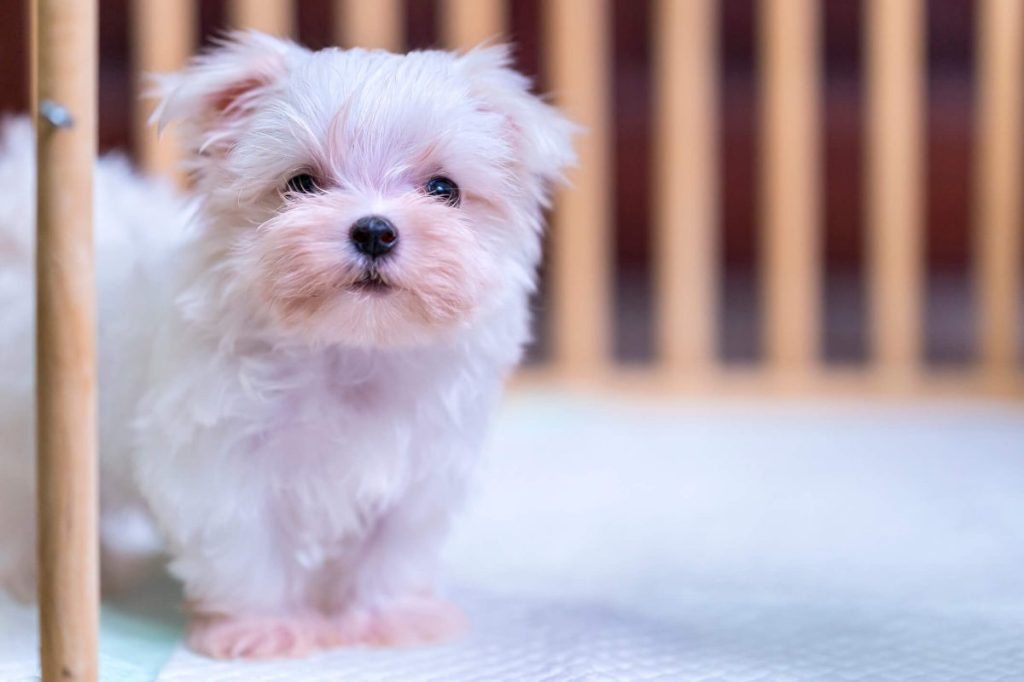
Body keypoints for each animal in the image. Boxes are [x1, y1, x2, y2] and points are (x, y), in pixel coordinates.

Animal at [0, 33, 577, 659]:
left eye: (444, 189)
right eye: (301, 183)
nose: (374, 230)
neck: (349, 349)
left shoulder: (420, 473)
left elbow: (391, 551)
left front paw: (388, 619)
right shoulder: (220, 467)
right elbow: (248, 553)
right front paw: (266, 628)